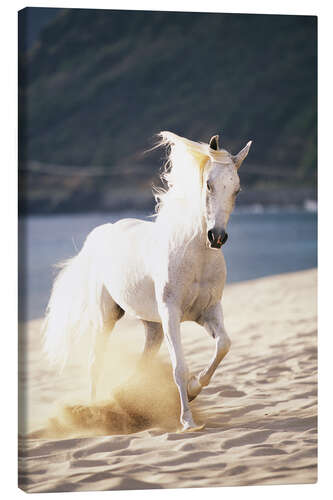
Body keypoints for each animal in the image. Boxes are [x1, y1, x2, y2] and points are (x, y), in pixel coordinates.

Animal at [44, 131, 252, 432]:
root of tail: (101, 233)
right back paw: (94, 412)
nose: (217, 237)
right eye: (209, 185)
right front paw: (188, 421)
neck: (195, 255)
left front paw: (193, 389)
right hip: (107, 317)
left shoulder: (208, 311)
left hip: (152, 326)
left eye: (237, 189)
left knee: (143, 361)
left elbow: (223, 345)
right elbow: (179, 366)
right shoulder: (171, 313)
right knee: (96, 362)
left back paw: (125, 399)